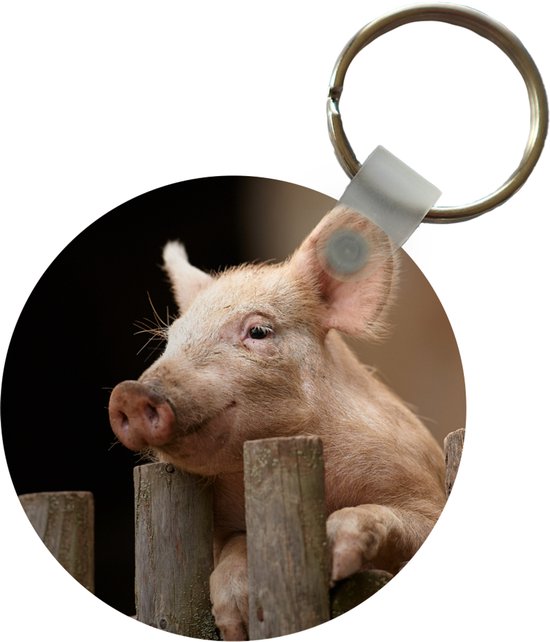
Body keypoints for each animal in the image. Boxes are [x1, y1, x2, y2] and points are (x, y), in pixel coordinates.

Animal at [109, 205, 446, 641]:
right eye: (171, 340)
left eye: (258, 331)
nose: (129, 393)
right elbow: (234, 546)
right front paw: (236, 624)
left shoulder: (421, 487)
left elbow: (396, 519)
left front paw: (334, 554)